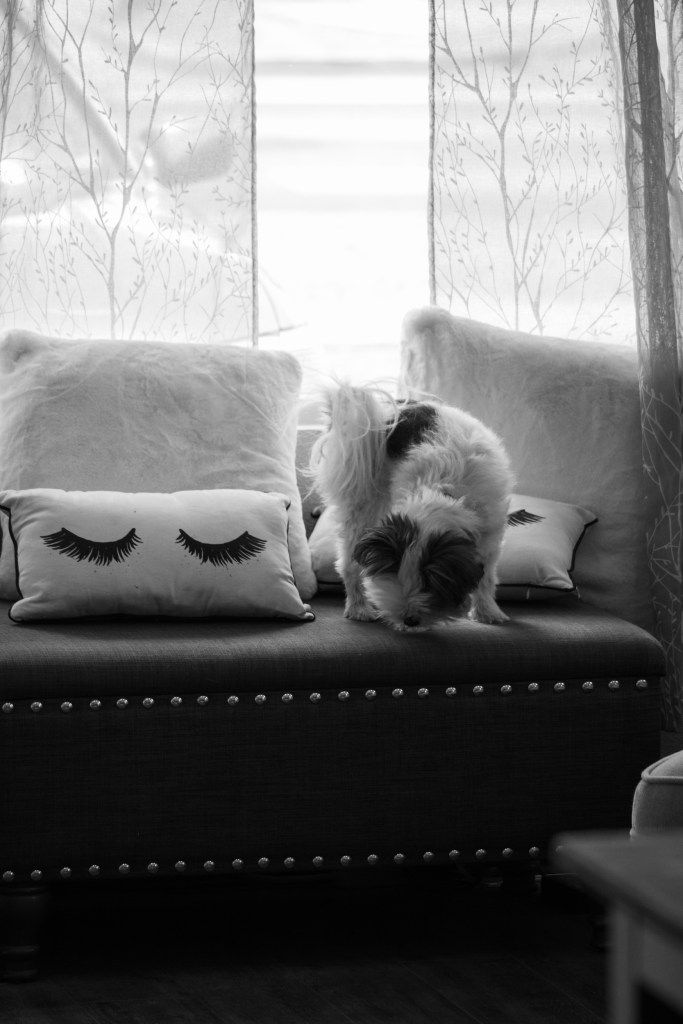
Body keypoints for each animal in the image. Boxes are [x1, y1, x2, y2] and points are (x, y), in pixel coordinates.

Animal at [310, 383, 514, 631]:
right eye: (394, 574)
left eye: (432, 581)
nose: (409, 620)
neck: (445, 490)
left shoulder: (490, 534)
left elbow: (487, 577)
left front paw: (487, 611)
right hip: (363, 500)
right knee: (349, 561)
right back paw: (358, 607)